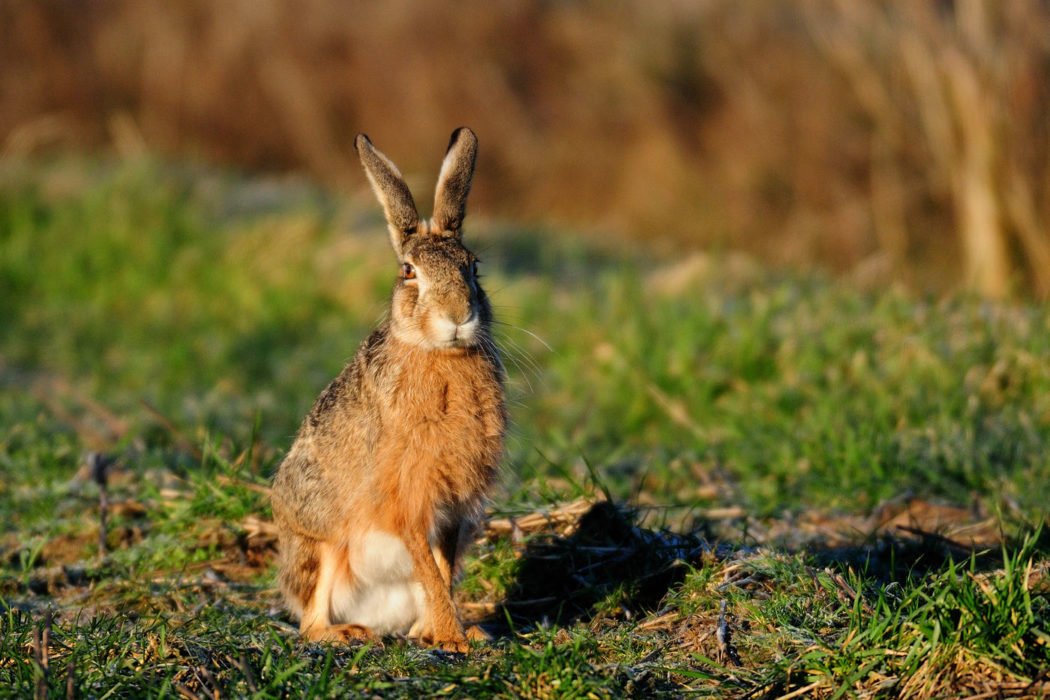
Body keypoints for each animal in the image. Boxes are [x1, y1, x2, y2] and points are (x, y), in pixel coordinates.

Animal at [271, 127, 506, 652]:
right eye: (408, 272)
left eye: (474, 267)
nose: (458, 315)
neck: (439, 355)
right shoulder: (409, 496)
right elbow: (430, 568)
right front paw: (452, 640)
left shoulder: (452, 509)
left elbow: (440, 571)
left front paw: (448, 634)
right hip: (322, 540)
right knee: (309, 621)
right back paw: (348, 632)